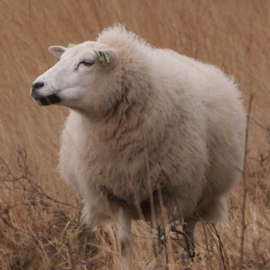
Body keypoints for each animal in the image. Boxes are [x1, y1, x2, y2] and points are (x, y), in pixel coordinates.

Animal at [30, 24, 247, 268]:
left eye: (87, 62)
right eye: (62, 58)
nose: (36, 86)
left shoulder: (164, 193)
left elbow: (155, 246)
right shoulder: (115, 194)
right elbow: (124, 244)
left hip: (196, 197)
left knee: (186, 237)